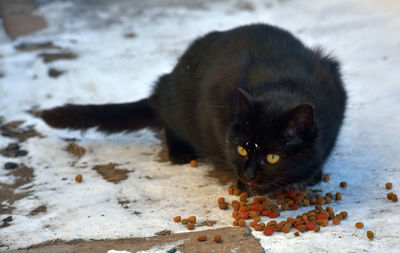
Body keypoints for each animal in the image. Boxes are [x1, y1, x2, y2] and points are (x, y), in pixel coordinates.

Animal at [41, 23, 346, 194]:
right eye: (242, 149)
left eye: (273, 157)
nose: (249, 174)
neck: (282, 83)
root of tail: (164, 86)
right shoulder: (216, 99)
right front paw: (244, 184)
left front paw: (311, 174)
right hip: (178, 104)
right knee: (168, 121)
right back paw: (180, 151)